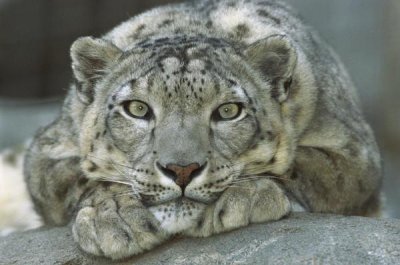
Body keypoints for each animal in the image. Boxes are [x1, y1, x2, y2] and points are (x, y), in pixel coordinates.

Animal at [22, 0, 382, 258]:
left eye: (228, 111)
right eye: (137, 109)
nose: (182, 169)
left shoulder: (352, 155)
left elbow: (299, 167)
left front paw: (246, 198)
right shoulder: (48, 150)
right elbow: (79, 175)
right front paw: (114, 218)